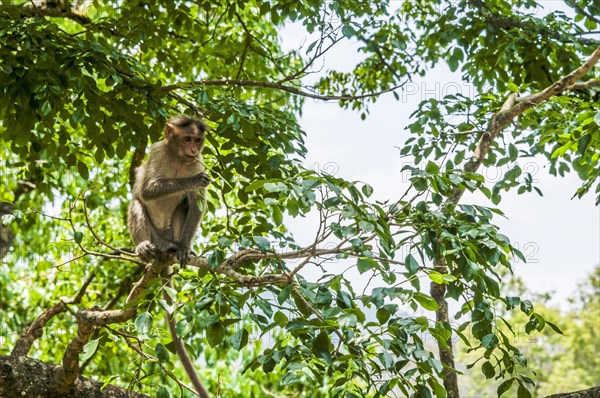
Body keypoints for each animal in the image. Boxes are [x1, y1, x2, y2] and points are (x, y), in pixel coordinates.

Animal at [126, 114, 211, 398]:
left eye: (198, 140)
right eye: (187, 139)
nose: (193, 149)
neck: (178, 160)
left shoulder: (197, 162)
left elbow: (196, 204)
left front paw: (185, 246)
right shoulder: (158, 151)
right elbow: (148, 190)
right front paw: (191, 182)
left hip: (171, 231)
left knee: (184, 205)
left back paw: (175, 247)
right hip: (153, 234)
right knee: (137, 202)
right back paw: (146, 250)